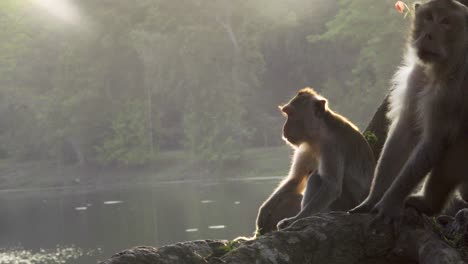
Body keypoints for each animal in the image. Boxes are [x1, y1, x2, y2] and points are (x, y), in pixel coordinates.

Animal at [254, 88, 374, 233]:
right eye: (287, 114)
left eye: (291, 114)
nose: (284, 129)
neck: (319, 134)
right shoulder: (305, 147)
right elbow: (296, 180)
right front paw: (264, 211)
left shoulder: (332, 145)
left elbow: (331, 186)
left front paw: (295, 219)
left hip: (347, 205)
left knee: (316, 177)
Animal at [350, 0, 468, 225]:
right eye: (429, 17)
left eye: (446, 21)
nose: (428, 34)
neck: (440, 70)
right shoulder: (416, 77)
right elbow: (404, 131)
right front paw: (373, 199)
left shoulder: (452, 93)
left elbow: (434, 140)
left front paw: (390, 203)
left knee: (456, 145)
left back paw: (429, 204)